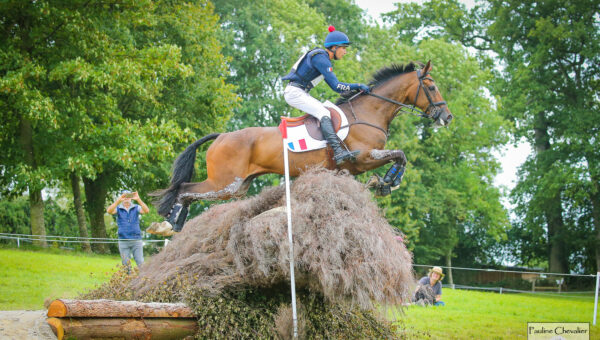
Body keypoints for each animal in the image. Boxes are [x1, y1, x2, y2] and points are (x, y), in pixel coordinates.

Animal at [149, 60, 450, 234]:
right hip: (226, 184)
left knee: (188, 192)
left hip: (239, 186)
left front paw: (384, 183)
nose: (447, 117)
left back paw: (174, 223)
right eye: (432, 86)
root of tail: (222, 135)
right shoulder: (363, 157)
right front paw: (387, 182)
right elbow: (401, 155)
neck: (370, 112)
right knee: (185, 190)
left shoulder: (349, 170)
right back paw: (169, 223)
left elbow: (399, 158)